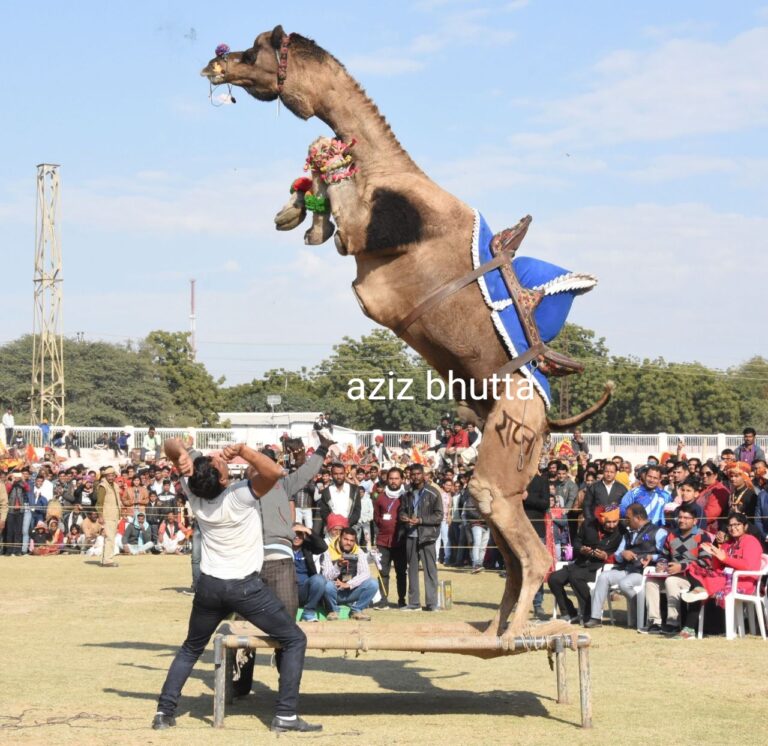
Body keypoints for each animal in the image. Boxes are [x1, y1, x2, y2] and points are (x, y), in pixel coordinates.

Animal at [202, 27, 612, 632]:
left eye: (256, 50)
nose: (214, 65)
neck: (389, 171)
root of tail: (550, 412)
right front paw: (295, 213)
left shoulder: (365, 234)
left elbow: (329, 178)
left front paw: (309, 207)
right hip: (510, 459)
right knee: (514, 551)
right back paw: (495, 627)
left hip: (506, 443)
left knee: (530, 551)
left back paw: (515, 631)